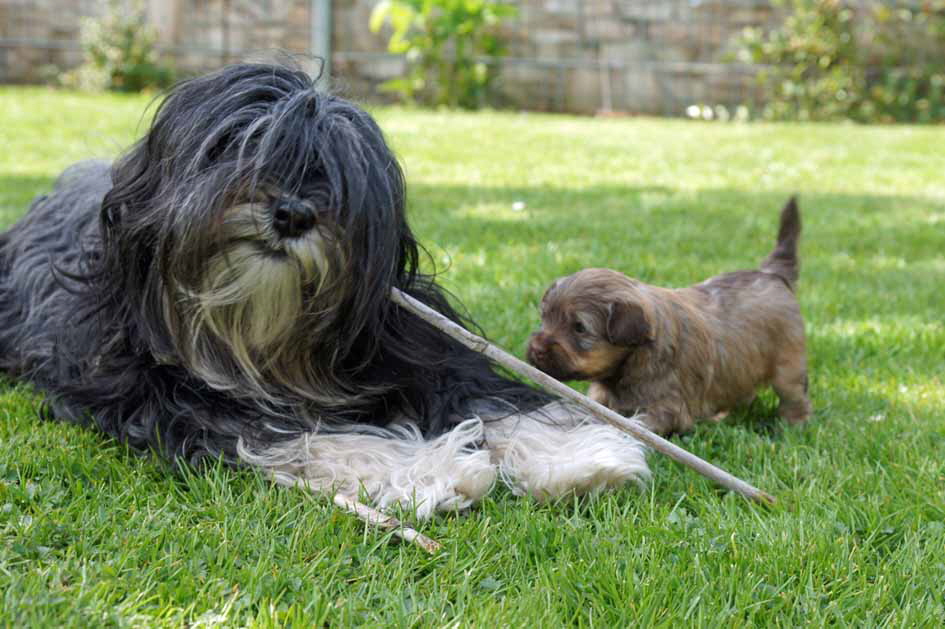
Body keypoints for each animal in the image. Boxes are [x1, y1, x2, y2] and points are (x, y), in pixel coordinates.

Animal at [0, 63, 644, 516]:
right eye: (231, 145)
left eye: (337, 172)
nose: (290, 213)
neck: (264, 334)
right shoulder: (157, 395)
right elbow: (307, 436)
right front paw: (435, 470)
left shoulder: (418, 347)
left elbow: (489, 397)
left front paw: (577, 458)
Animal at [528, 199, 808, 434]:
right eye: (545, 317)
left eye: (579, 328)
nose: (535, 349)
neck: (634, 358)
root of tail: (771, 273)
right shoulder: (602, 396)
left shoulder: (668, 407)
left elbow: (640, 424)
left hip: (788, 365)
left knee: (795, 396)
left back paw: (792, 425)